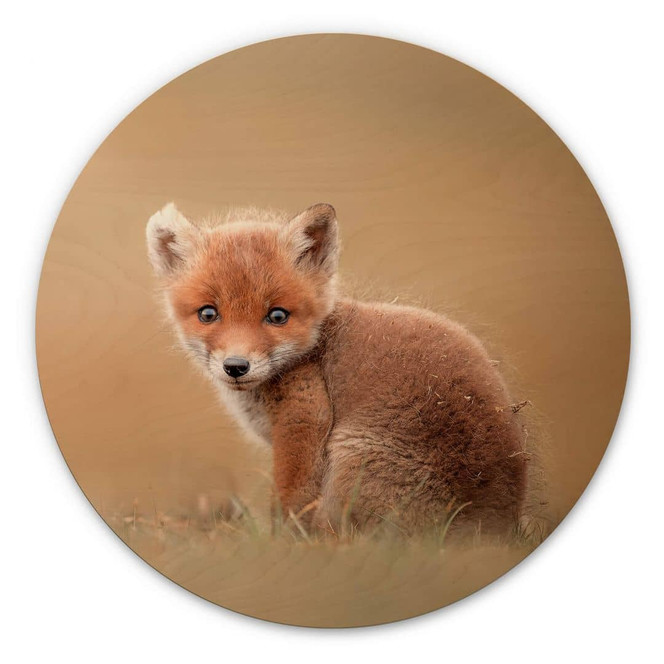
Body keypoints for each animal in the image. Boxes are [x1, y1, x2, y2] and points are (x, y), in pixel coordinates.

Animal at [146, 202, 529, 536]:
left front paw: (281, 547)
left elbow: (290, 503)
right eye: (208, 314)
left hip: (351, 458)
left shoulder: (304, 419)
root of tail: (493, 525)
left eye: (278, 316)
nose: (236, 366)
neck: (314, 348)